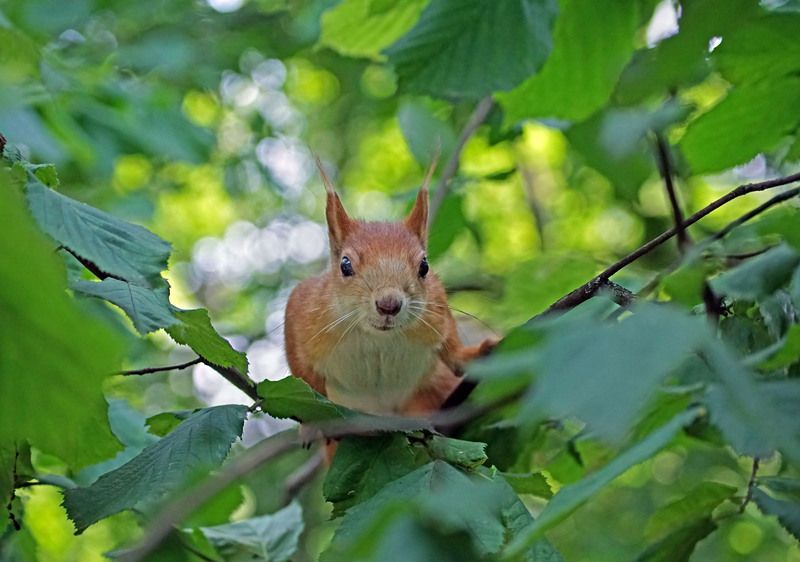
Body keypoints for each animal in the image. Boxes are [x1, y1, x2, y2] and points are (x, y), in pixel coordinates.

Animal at [284, 159, 497, 418]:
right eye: (345, 265)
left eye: (424, 266)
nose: (389, 305)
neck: (377, 338)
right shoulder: (303, 310)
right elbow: (303, 376)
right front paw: (311, 420)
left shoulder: (436, 310)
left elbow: (454, 352)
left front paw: (481, 351)